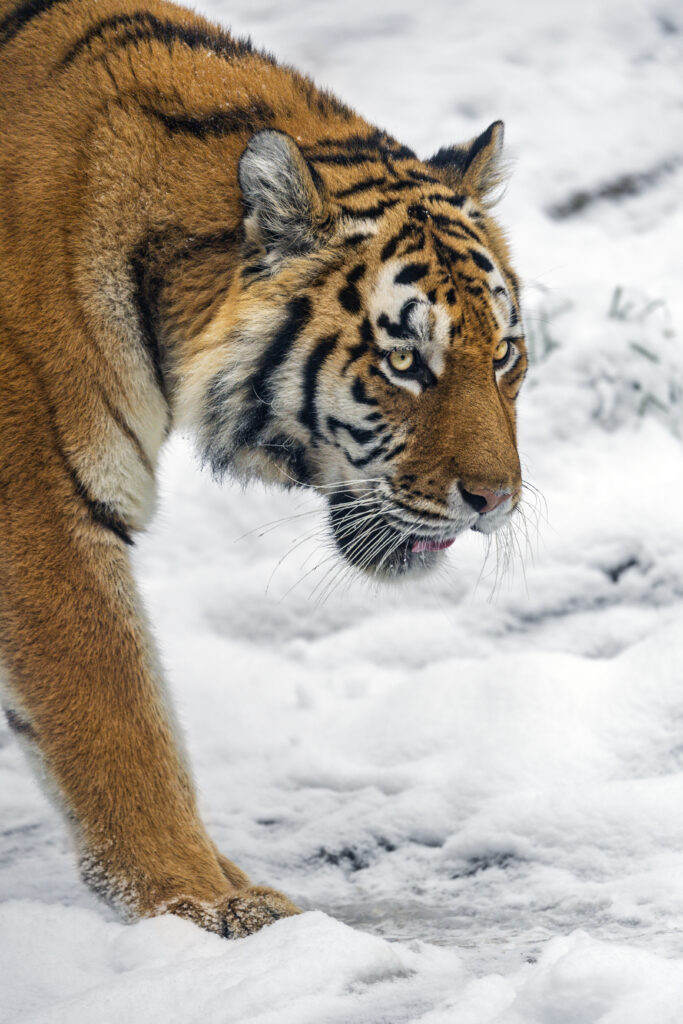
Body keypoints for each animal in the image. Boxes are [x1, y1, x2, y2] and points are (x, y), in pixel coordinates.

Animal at [0, 0, 527, 938]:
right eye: (404, 362)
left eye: (502, 354)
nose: (495, 500)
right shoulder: (42, 505)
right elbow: (116, 717)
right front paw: (203, 902)